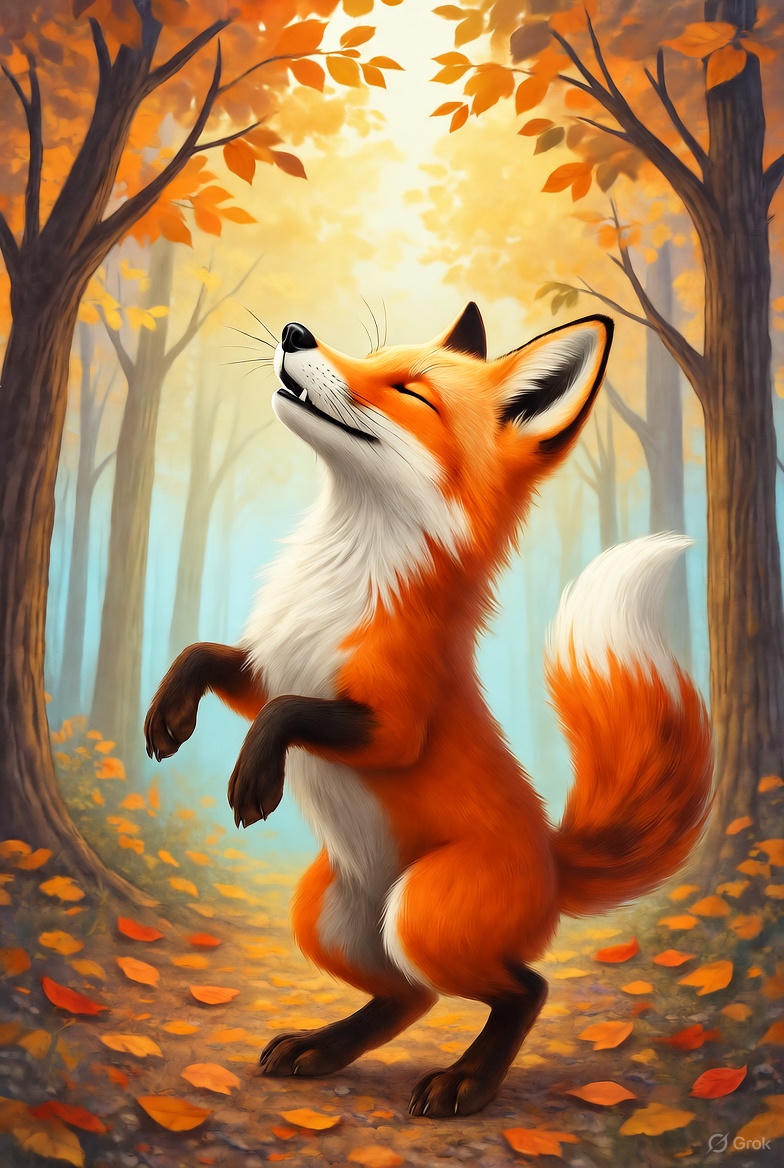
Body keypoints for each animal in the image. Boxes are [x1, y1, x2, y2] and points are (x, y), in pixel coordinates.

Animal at [144, 304, 712, 1118]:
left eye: (411, 391)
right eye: (370, 356)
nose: (294, 333)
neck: (343, 575)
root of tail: (553, 860)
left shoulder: (392, 724)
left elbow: (285, 712)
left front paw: (255, 778)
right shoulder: (269, 662)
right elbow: (209, 657)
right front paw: (168, 716)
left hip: (421, 915)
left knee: (524, 988)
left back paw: (466, 1082)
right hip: (327, 920)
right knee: (410, 999)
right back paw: (322, 1048)